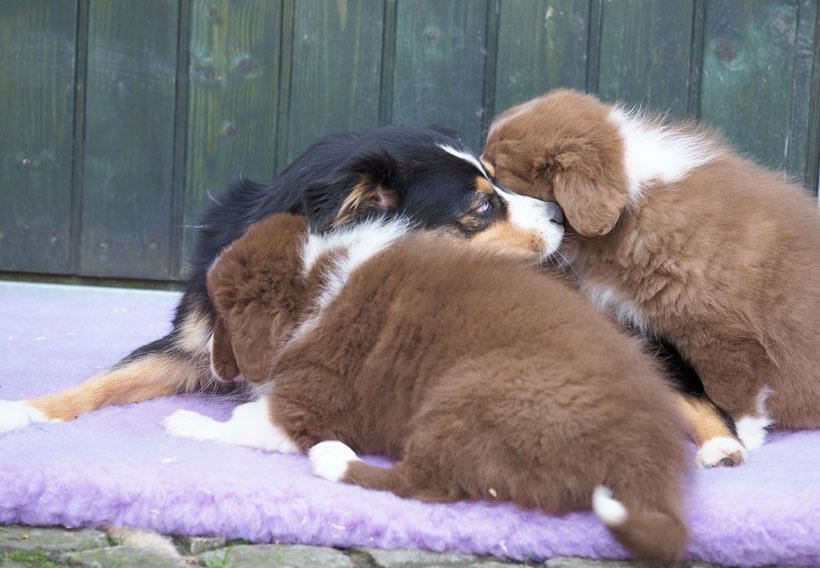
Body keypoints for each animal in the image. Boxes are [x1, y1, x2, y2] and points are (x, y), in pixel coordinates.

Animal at [167, 212, 692, 564]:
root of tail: (646, 459)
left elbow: (237, 423)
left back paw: (333, 459)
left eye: (222, 314)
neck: (313, 280)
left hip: (470, 396)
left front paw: (184, 421)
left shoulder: (310, 405)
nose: (206, 359)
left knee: (423, 482)